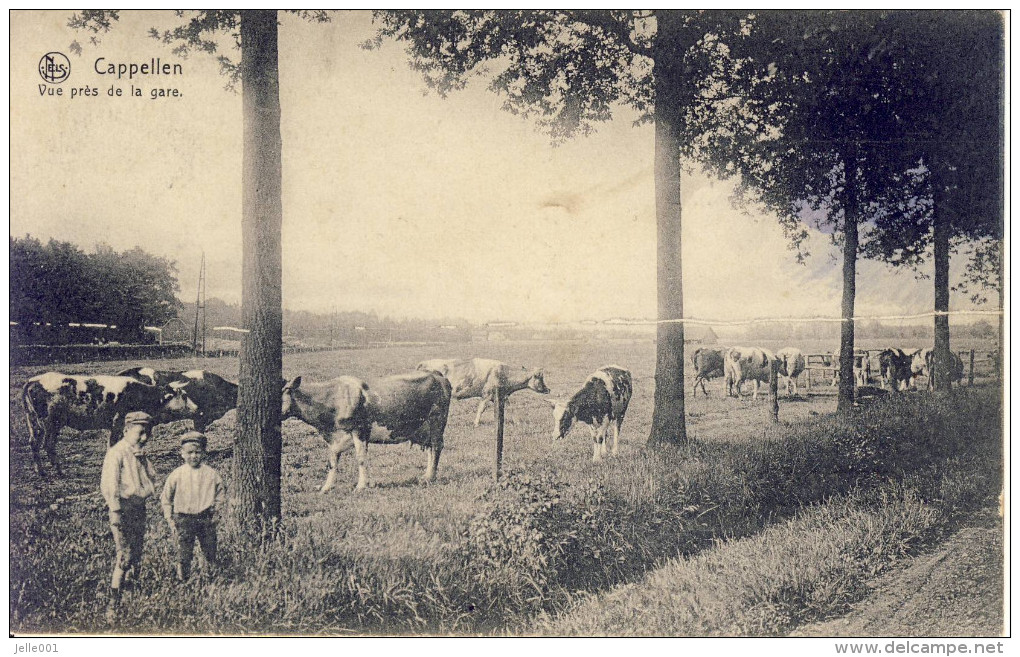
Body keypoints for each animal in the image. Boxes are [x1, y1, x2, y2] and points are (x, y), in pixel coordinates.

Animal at [20, 371, 192, 475]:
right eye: (184, 396)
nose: (196, 407)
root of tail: (33, 380)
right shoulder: (118, 422)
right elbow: (113, 443)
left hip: (33, 421)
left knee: (33, 443)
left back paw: (40, 471)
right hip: (51, 422)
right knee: (48, 444)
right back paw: (59, 471)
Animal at [281, 369, 452, 493]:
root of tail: (437, 374)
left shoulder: (360, 429)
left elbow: (361, 458)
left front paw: (361, 485)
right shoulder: (334, 436)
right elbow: (332, 462)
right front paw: (326, 487)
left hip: (437, 419)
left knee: (437, 446)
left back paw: (430, 477)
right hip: (426, 428)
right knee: (430, 448)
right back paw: (425, 475)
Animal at [412, 359, 546, 426]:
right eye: (539, 377)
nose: (548, 389)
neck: (503, 372)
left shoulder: (501, 395)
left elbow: (510, 408)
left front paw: (517, 422)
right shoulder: (486, 394)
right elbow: (481, 409)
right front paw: (476, 423)